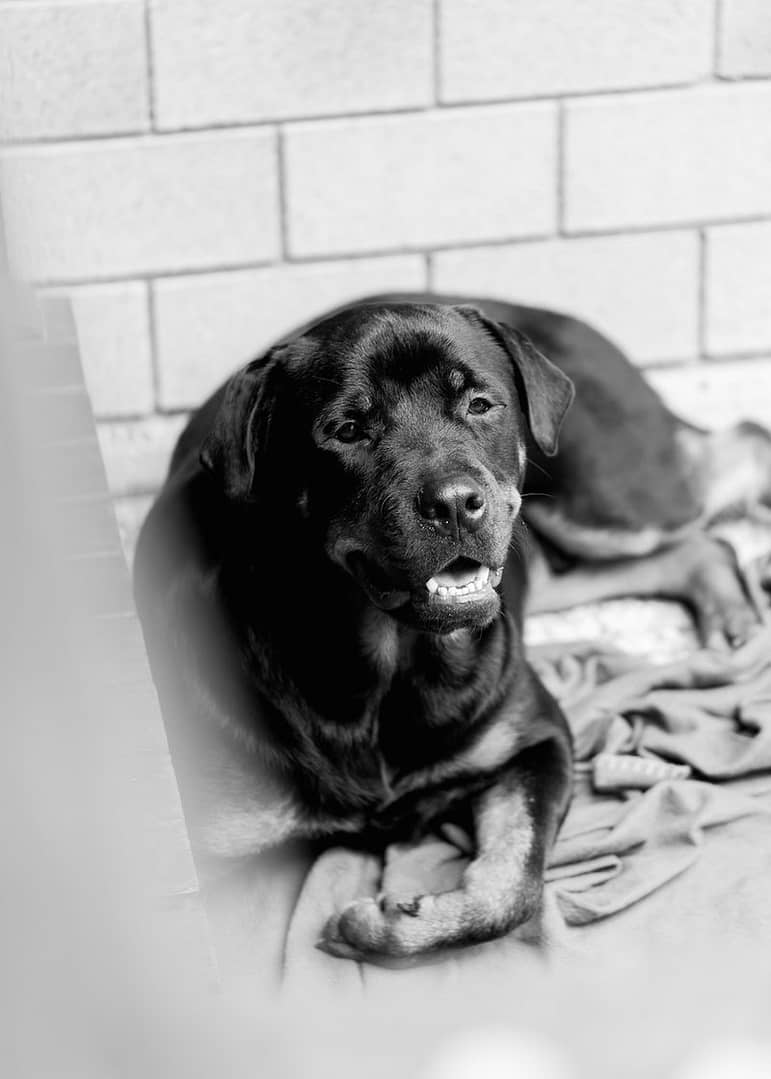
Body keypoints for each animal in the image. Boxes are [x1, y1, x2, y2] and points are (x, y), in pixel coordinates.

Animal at [135, 297, 767, 962]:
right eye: (347, 430)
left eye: (480, 405)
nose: (456, 503)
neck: (389, 662)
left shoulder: (536, 739)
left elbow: (513, 884)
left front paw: (389, 924)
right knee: (694, 544)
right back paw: (732, 618)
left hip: (607, 495)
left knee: (738, 450)